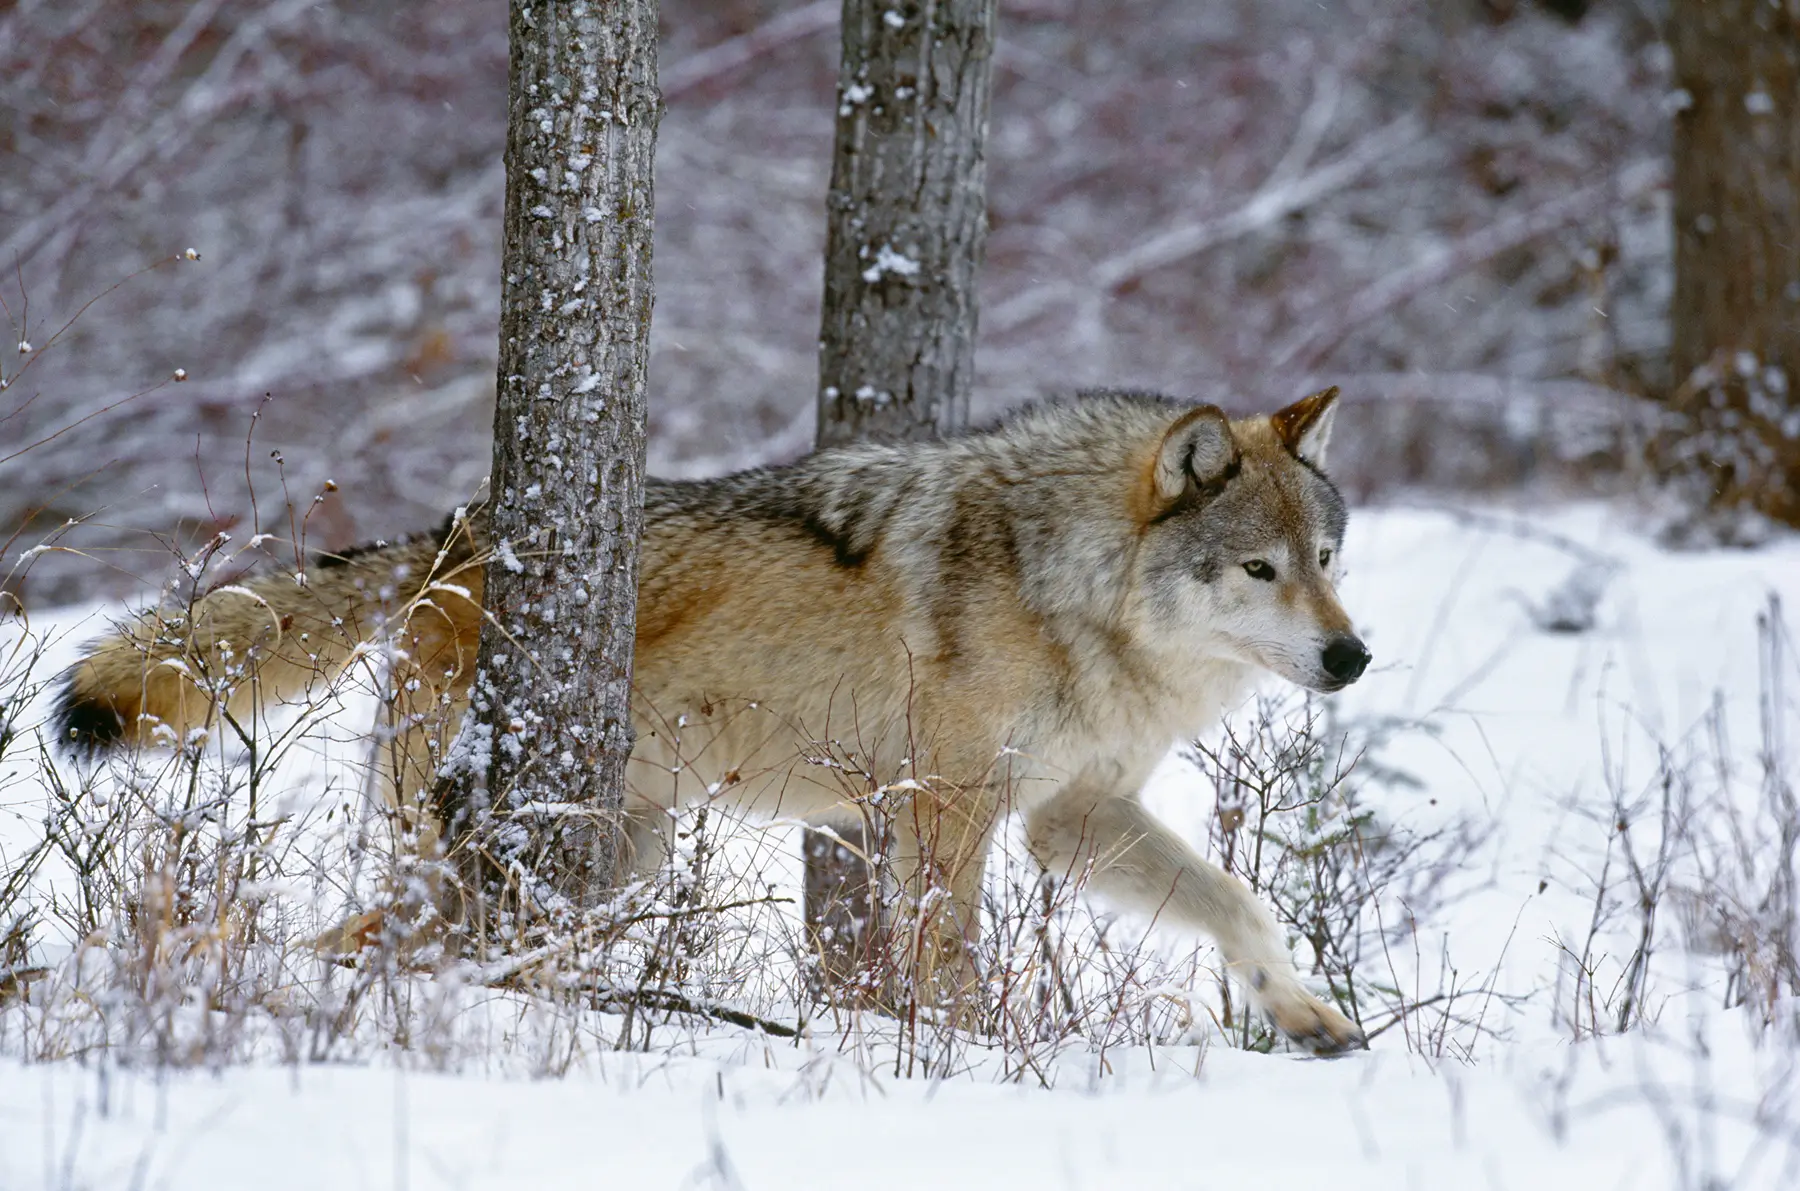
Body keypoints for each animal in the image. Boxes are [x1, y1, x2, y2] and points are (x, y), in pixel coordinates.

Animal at [56, 387, 1371, 1052]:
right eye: (1258, 571)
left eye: (1327, 558)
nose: (1352, 656)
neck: (1074, 593)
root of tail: (454, 536)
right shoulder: (948, 813)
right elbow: (949, 961)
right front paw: (966, 1062)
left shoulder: (1072, 815)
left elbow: (1239, 904)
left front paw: (1308, 1016)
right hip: (530, 852)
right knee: (378, 940)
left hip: (607, 859)